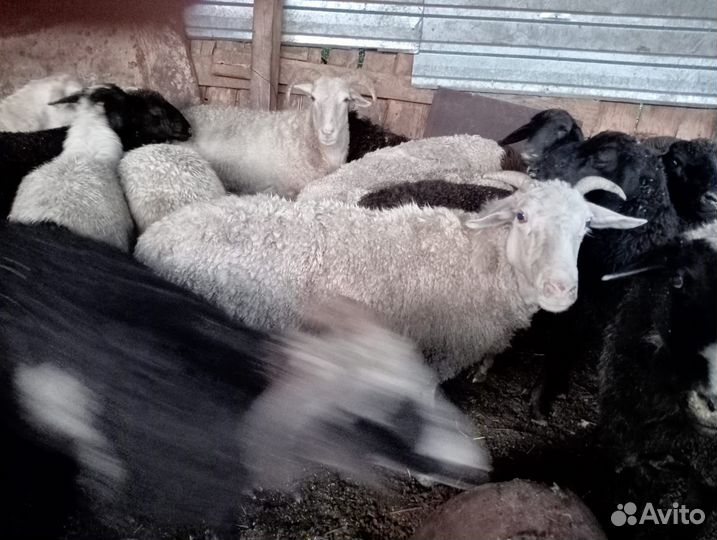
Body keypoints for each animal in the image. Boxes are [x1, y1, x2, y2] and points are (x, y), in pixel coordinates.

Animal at [135, 175, 646, 382]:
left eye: (587, 227)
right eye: (521, 217)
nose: (562, 290)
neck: (480, 259)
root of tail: (152, 237)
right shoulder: (441, 349)